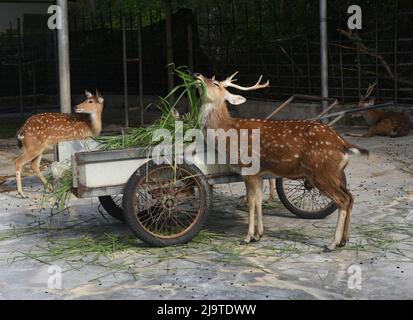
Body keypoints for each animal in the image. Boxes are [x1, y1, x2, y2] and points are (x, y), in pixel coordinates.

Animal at [195, 72, 368, 250]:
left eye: (215, 83)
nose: (197, 74)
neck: (228, 132)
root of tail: (343, 143)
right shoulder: (259, 172)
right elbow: (259, 199)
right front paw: (259, 235)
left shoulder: (248, 168)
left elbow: (251, 201)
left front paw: (248, 237)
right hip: (335, 173)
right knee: (350, 197)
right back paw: (344, 240)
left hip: (321, 172)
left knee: (343, 200)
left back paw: (332, 243)